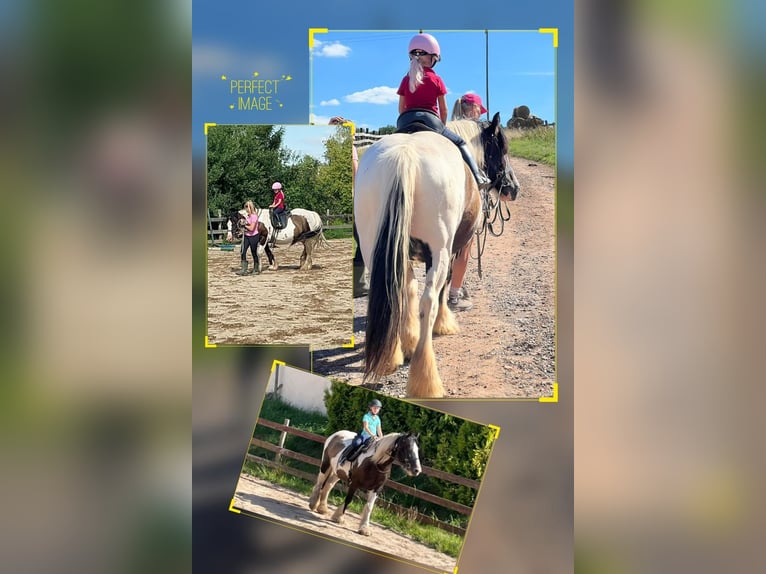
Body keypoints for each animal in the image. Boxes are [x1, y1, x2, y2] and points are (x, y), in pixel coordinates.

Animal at [356, 113, 520, 400]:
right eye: (502, 148)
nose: (514, 188)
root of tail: (405, 155)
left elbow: (408, 289)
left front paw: (409, 339)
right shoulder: (449, 250)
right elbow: (445, 286)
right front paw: (444, 323)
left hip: (373, 247)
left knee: (394, 292)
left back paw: (392, 356)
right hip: (439, 249)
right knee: (429, 300)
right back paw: (425, 380)